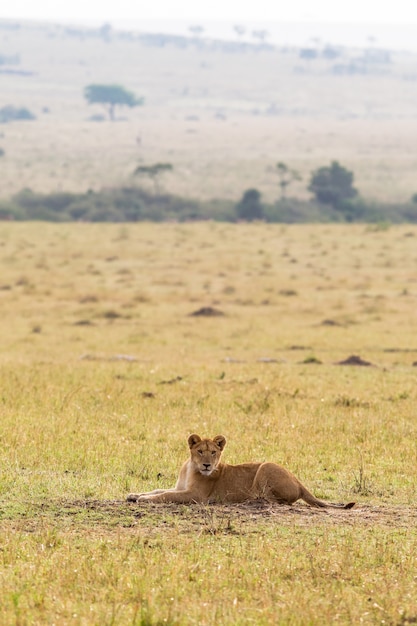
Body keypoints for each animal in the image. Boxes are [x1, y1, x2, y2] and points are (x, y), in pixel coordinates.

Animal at [126, 434, 354, 508]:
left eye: (214, 453)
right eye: (200, 451)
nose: (207, 465)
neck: (191, 467)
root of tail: (300, 482)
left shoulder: (196, 496)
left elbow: (165, 495)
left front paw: (144, 500)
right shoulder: (180, 487)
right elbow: (159, 490)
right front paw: (135, 495)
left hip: (266, 466)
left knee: (278, 501)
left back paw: (253, 500)